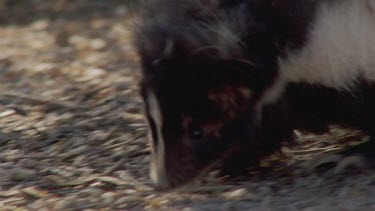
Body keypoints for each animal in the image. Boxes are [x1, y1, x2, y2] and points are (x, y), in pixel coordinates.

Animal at [134, 0, 375, 190]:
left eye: (196, 131)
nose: (161, 183)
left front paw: (349, 157)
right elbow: (266, 127)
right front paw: (232, 163)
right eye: (152, 125)